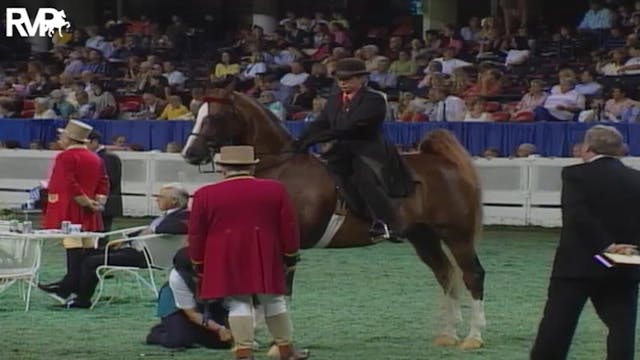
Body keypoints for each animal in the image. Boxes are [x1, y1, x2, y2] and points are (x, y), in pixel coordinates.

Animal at [180, 86, 484, 348]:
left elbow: (281, 290)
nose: (189, 154)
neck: (280, 167)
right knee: (445, 275)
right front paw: (253, 336)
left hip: (457, 236)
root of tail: (445, 163)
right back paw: (448, 335)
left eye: (215, 116)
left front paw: (278, 341)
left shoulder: (288, 247)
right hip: (423, 237)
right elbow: (259, 291)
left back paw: (474, 337)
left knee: (472, 275)